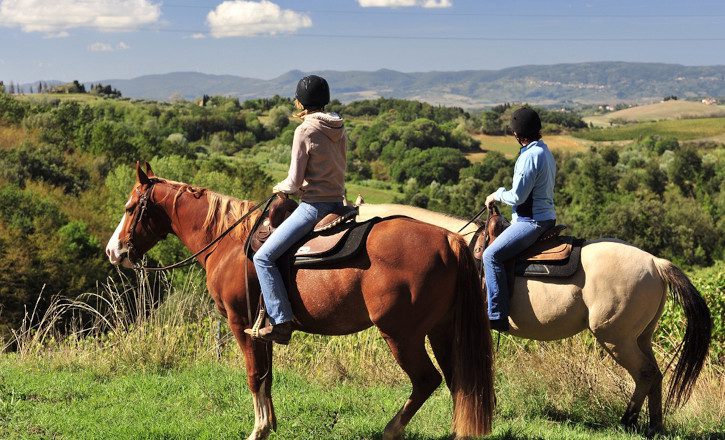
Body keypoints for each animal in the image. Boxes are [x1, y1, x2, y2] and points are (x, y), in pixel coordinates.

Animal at [104, 162, 494, 440]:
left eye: (129, 207)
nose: (113, 252)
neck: (228, 242)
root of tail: (449, 241)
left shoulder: (240, 324)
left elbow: (254, 376)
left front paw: (258, 430)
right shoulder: (264, 329)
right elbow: (268, 376)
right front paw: (271, 424)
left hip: (402, 335)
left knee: (427, 380)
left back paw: (390, 430)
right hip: (442, 331)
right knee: (460, 384)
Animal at [360, 204, 708, 436]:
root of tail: (656, 263)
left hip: (616, 338)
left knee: (645, 373)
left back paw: (628, 422)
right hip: (640, 336)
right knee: (656, 375)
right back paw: (655, 426)